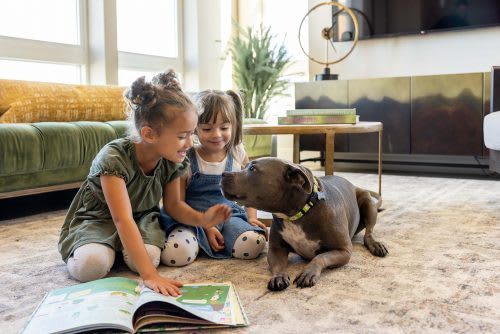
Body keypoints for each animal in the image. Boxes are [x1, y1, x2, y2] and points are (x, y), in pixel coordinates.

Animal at [221, 158, 388, 290]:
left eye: (253, 169)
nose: (223, 174)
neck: (297, 213)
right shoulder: (276, 249)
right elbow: (277, 264)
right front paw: (278, 276)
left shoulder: (343, 250)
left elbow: (320, 257)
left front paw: (308, 273)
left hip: (367, 201)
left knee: (369, 233)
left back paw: (376, 245)